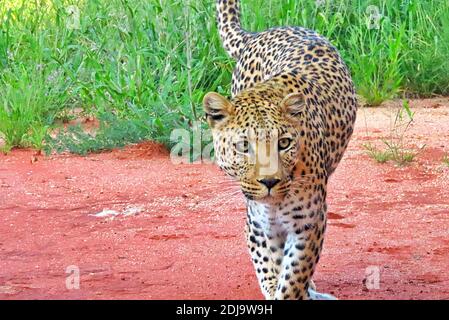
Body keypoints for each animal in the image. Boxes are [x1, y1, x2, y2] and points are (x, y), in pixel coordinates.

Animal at [203, 0, 356, 300]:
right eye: (244, 146)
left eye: (283, 143)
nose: (270, 182)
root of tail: (258, 34)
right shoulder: (261, 227)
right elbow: (271, 268)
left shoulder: (309, 224)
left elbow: (293, 278)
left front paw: (296, 288)